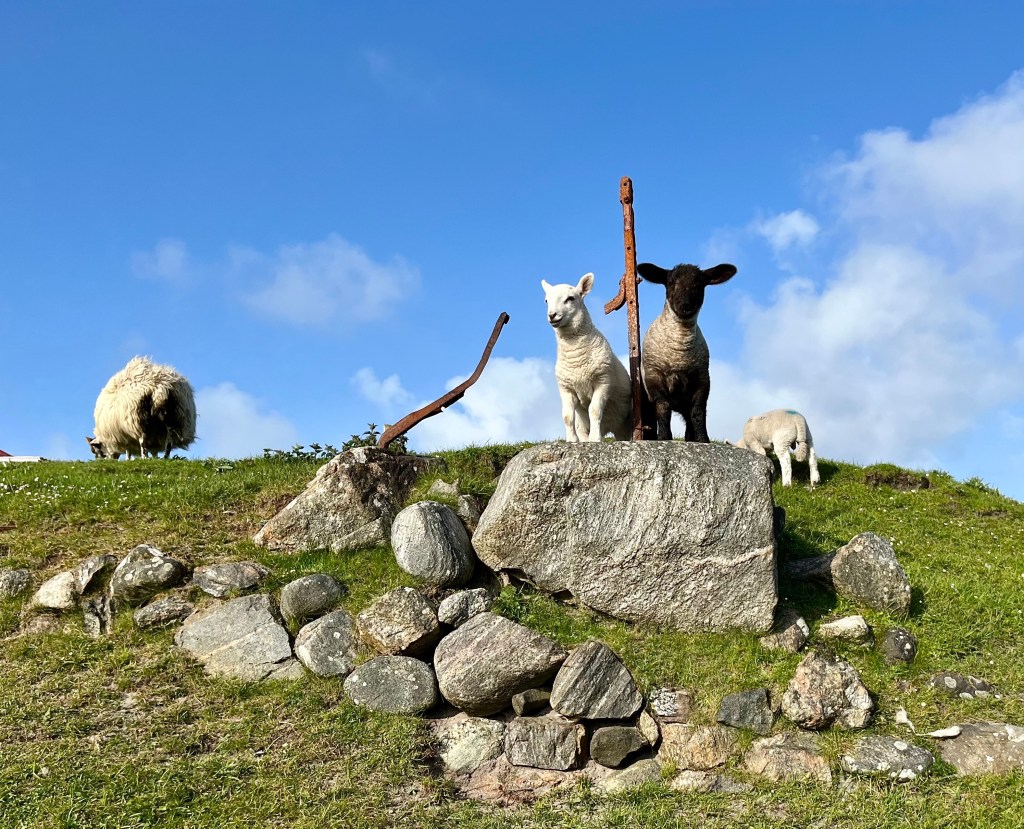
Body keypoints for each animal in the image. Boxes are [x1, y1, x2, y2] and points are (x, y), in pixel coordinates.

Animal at [542, 273, 633, 442]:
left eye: (570, 298)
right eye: (546, 300)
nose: (552, 316)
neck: (575, 357)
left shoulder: (603, 381)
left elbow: (595, 410)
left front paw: (595, 439)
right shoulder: (566, 388)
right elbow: (567, 417)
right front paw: (572, 440)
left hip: (625, 422)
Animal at [637, 261, 737, 442]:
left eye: (700, 284)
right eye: (670, 282)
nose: (685, 306)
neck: (679, 353)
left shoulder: (702, 379)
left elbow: (698, 411)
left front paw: (703, 440)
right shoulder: (654, 377)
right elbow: (663, 409)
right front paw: (664, 438)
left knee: (689, 419)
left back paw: (691, 437)